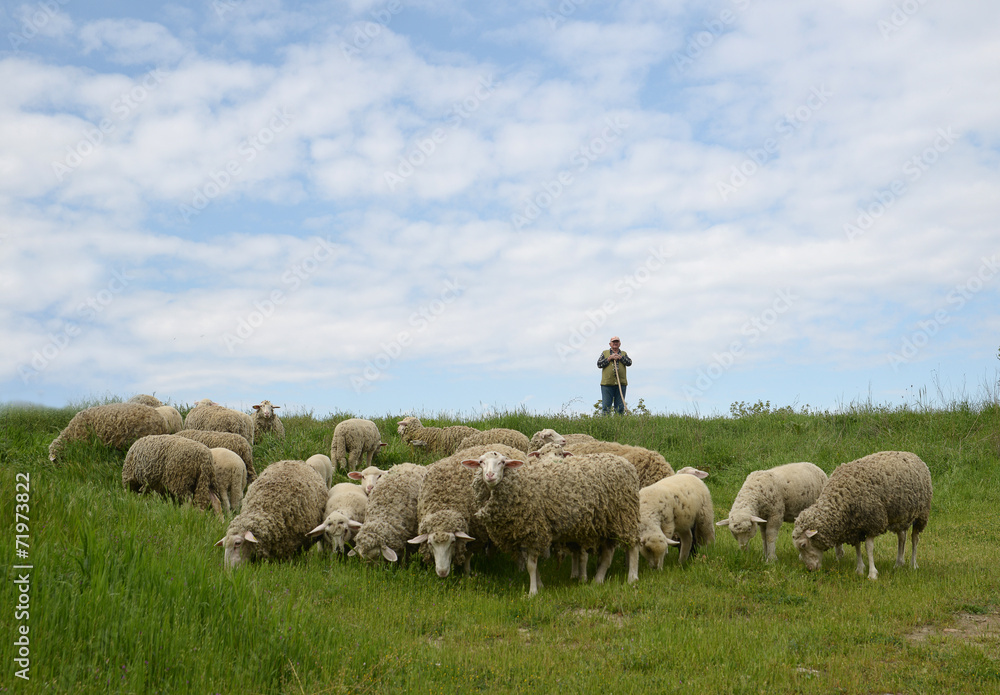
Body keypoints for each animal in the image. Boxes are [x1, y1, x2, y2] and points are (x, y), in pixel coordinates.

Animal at [407, 443, 526, 578]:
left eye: (453, 542)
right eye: (430, 544)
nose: (442, 572)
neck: (444, 502)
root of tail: (500, 444)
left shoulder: (476, 532)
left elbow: (468, 553)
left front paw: (467, 573)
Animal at [463, 450, 640, 596]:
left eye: (503, 462)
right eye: (481, 462)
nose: (490, 476)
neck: (520, 484)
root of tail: (626, 462)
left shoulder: (535, 530)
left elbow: (531, 566)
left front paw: (532, 592)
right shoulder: (524, 533)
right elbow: (533, 566)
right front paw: (539, 585)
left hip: (625, 515)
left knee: (633, 547)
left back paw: (632, 578)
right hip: (607, 522)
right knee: (608, 555)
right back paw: (598, 580)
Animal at [792, 451, 932, 580]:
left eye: (803, 545)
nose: (810, 569)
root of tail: (912, 455)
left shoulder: (872, 522)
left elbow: (868, 547)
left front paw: (872, 574)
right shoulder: (854, 526)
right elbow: (857, 546)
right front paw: (859, 569)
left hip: (921, 514)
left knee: (915, 538)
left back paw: (913, 564)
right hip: (900, 514)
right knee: (902, 537)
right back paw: (898, 563)